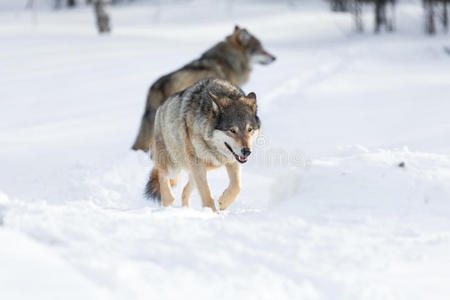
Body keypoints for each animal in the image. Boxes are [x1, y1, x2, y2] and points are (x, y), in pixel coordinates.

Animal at [146, 78, 262, 212]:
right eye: (232, 130)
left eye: (249, 129)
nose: (247, 151)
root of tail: (161, 106)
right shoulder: (197, 161)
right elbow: (206, 193)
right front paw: (213, 213)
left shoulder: (233, 160)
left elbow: (237, 186)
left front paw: (223, 202)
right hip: (174, 165)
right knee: (162, 175)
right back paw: (168, 202)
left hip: (196, 170)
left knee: (185, 190)